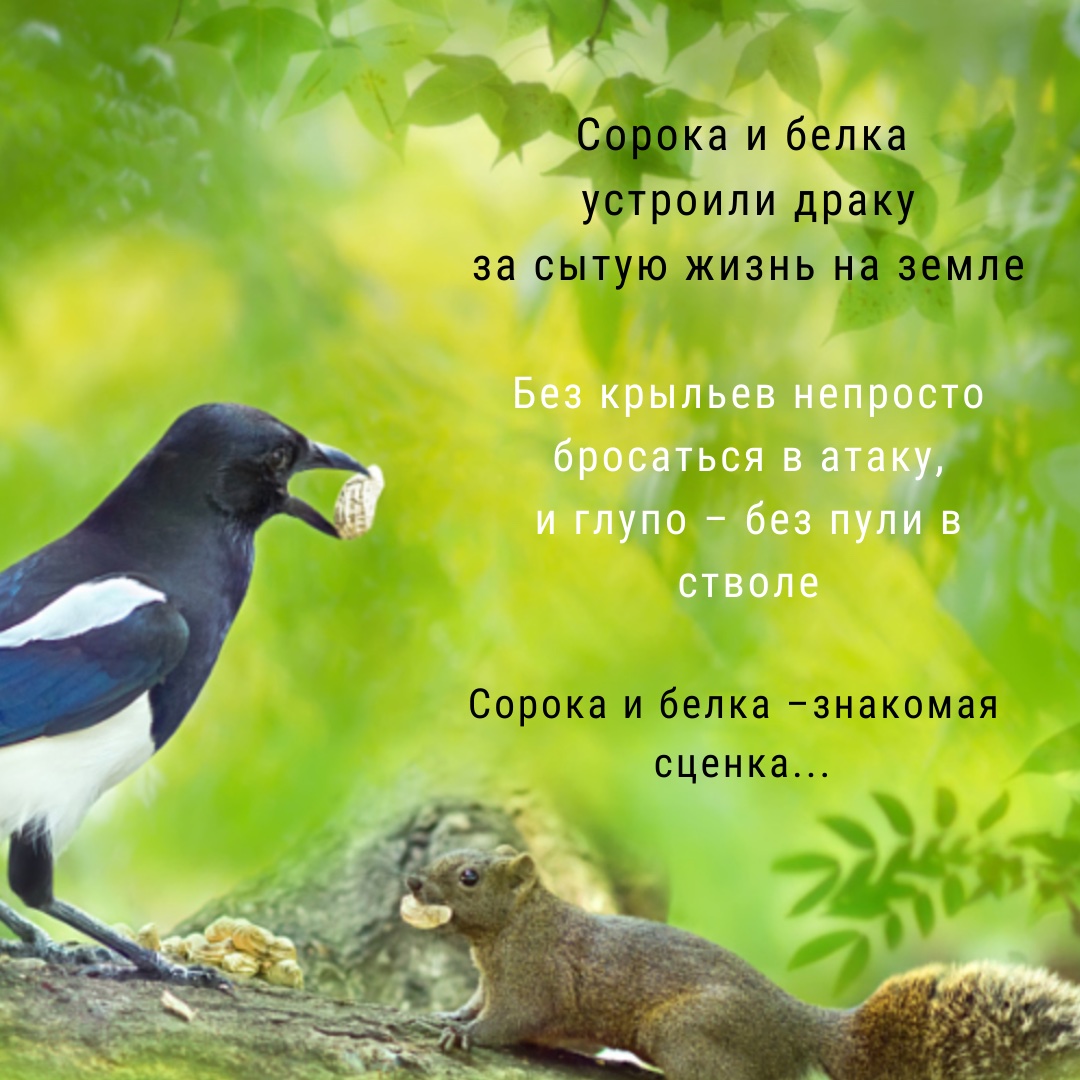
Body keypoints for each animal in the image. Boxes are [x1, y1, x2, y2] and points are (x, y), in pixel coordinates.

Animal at [402, 846, 1080, 1080]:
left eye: (468, 876)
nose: (410, 880)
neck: (509, 930)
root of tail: (796, 1024)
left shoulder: (535, 975)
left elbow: (511, 1018)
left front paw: (466, 1035)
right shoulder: (490, 978)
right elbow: (475, 1000)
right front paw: (450, 1014)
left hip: (689, 1031)